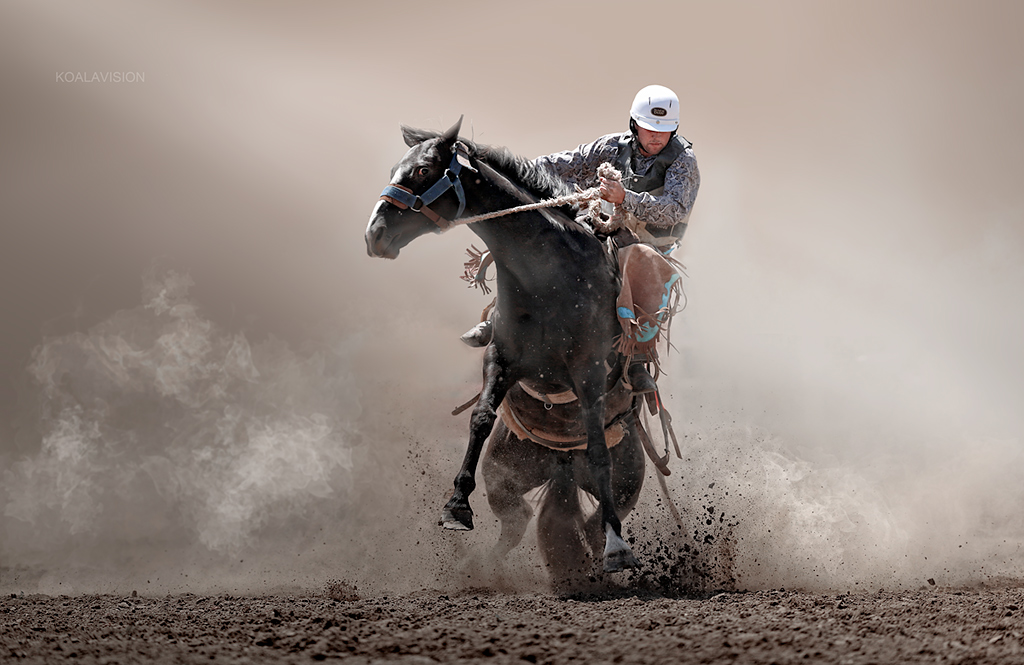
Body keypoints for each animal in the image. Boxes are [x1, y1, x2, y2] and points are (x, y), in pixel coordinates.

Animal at [364, 116, 643, 577]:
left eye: (423, 169)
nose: (374, 235)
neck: (549, 277)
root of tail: (561, 463)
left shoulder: (588, 370)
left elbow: (598, 448)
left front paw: (618, 548)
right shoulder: (502, 358)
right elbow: (480, 418)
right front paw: (456, 507)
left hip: (627, 482)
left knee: (590, 515)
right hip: (505, 475)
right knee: (517, 522)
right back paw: (482, 571)